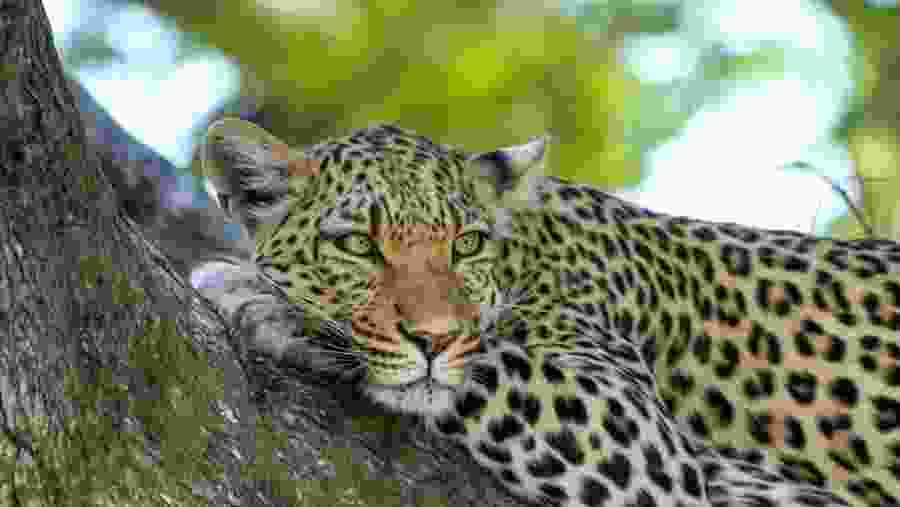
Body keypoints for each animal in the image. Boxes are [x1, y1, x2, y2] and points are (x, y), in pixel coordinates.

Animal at [193, 117, 900, 507]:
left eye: (466, 244)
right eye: (358, 246)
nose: (433, 339)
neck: (527, 254)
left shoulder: (641, 438)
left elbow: (490, 365)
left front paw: (270, 305)